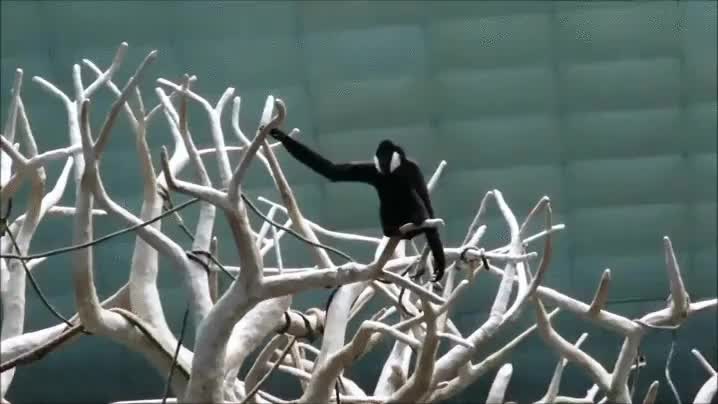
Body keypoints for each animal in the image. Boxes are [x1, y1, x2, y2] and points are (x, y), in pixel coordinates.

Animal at [269, 128, 446, 282]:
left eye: (386, 156)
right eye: (380, 156)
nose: (382, 162)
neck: (392, 173)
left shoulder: (412, 168)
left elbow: (426, 202)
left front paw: (440, 262)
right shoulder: (373, 170)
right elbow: (333, 171)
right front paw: (280, 135)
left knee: (411, 194)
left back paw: (417, 221)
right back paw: (390, 230)